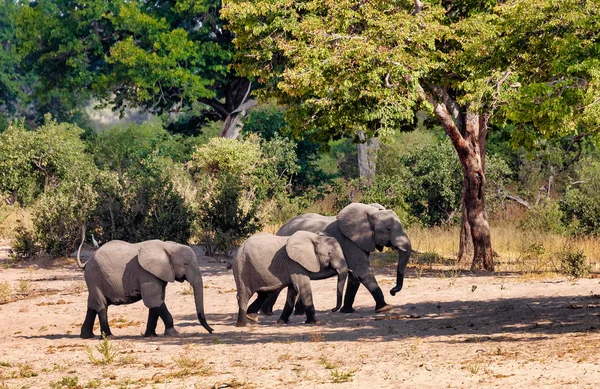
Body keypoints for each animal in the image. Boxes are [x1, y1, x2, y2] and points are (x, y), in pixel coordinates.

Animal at [76, 236, 213, 336]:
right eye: (186, 264)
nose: (212, 331)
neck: (167, 246)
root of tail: (87, 262)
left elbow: (156, 303)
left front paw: (151, 335)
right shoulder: (146, 273)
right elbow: (153, 300)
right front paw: (173, 334)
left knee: (92, 305)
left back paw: (87, 336)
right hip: (94, 276)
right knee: (101, 304)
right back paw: (108, 336)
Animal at [253, 203, 412, 316]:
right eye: (389, 229)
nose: (393, 291)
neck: (370, 212)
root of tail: (280, 229)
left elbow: (355, 276)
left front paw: (347, 311)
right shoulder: (349, 241)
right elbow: (362, 271)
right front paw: (385, 308)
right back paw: (268, 313)